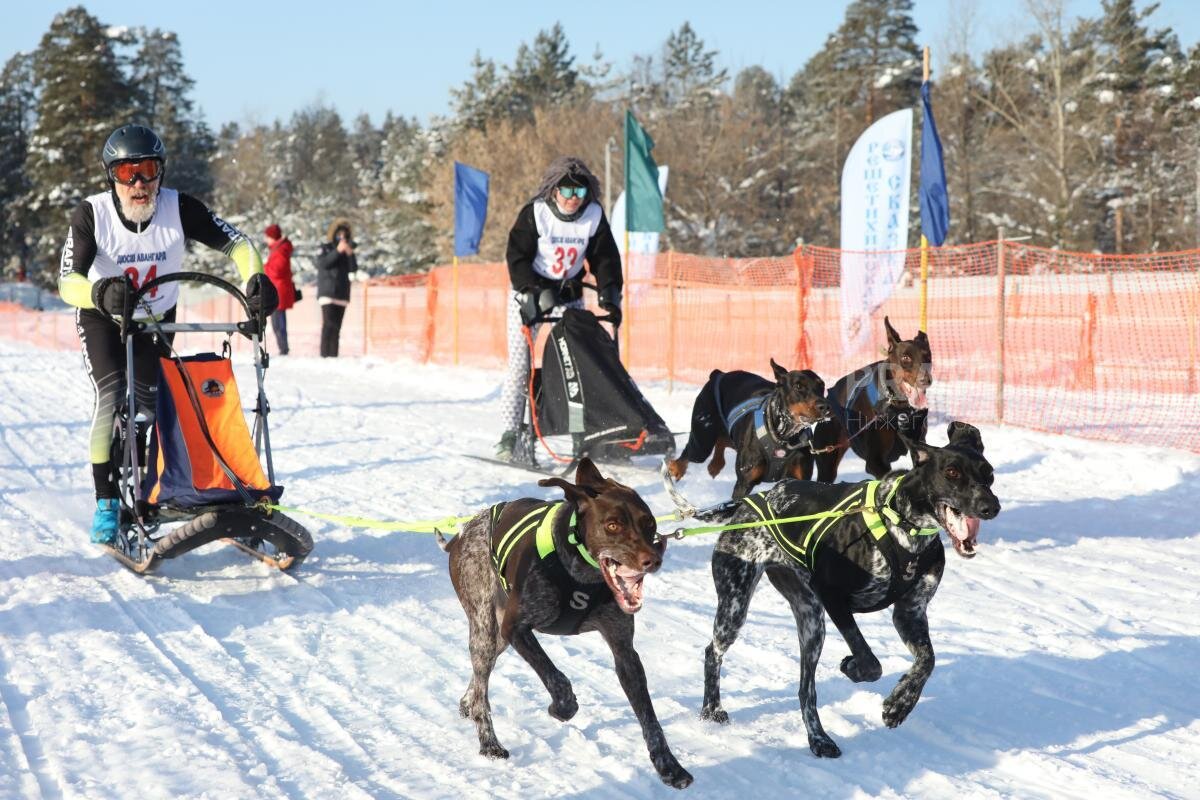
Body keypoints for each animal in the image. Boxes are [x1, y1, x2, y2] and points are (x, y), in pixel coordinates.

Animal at [439, 460, 696, 791]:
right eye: (613, 525)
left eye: (649, 523)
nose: (653, 560)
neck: (581, 571)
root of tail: (462, 533)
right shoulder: (517, 628)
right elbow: (557, 678)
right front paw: (562, 707)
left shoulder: (624, 651)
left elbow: (650, 719)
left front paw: (669, 766)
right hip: (485, 628)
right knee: (483, 683)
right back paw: (489, 742)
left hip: (498, 638)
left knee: (480, 677)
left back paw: (467, 703)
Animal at [672, 357, 830, 496]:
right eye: (798, 386)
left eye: (822, 385)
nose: (825, 406)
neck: (783, 436)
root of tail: (718, 375)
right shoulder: (744, 482)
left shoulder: (799, 479)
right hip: (703, 439)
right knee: (688, 454)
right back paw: (676, 469)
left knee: (723, 440)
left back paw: (715, 465)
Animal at [806, 316, 936, 482]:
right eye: (906, 357)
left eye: (927, 356)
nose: (925, 380)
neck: (897, 407)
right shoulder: (875, 461)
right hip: (827, 461)